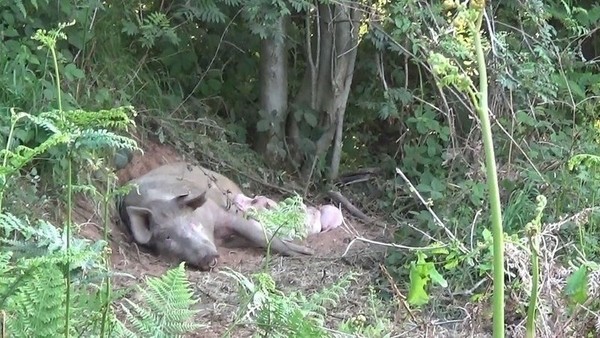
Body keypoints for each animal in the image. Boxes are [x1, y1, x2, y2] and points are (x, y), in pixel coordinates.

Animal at [116, 162, 314, 270]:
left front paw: (306, 253)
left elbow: (257, 234)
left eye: (191, 221)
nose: (206, 256)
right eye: (167, 237)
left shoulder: (219, 213)